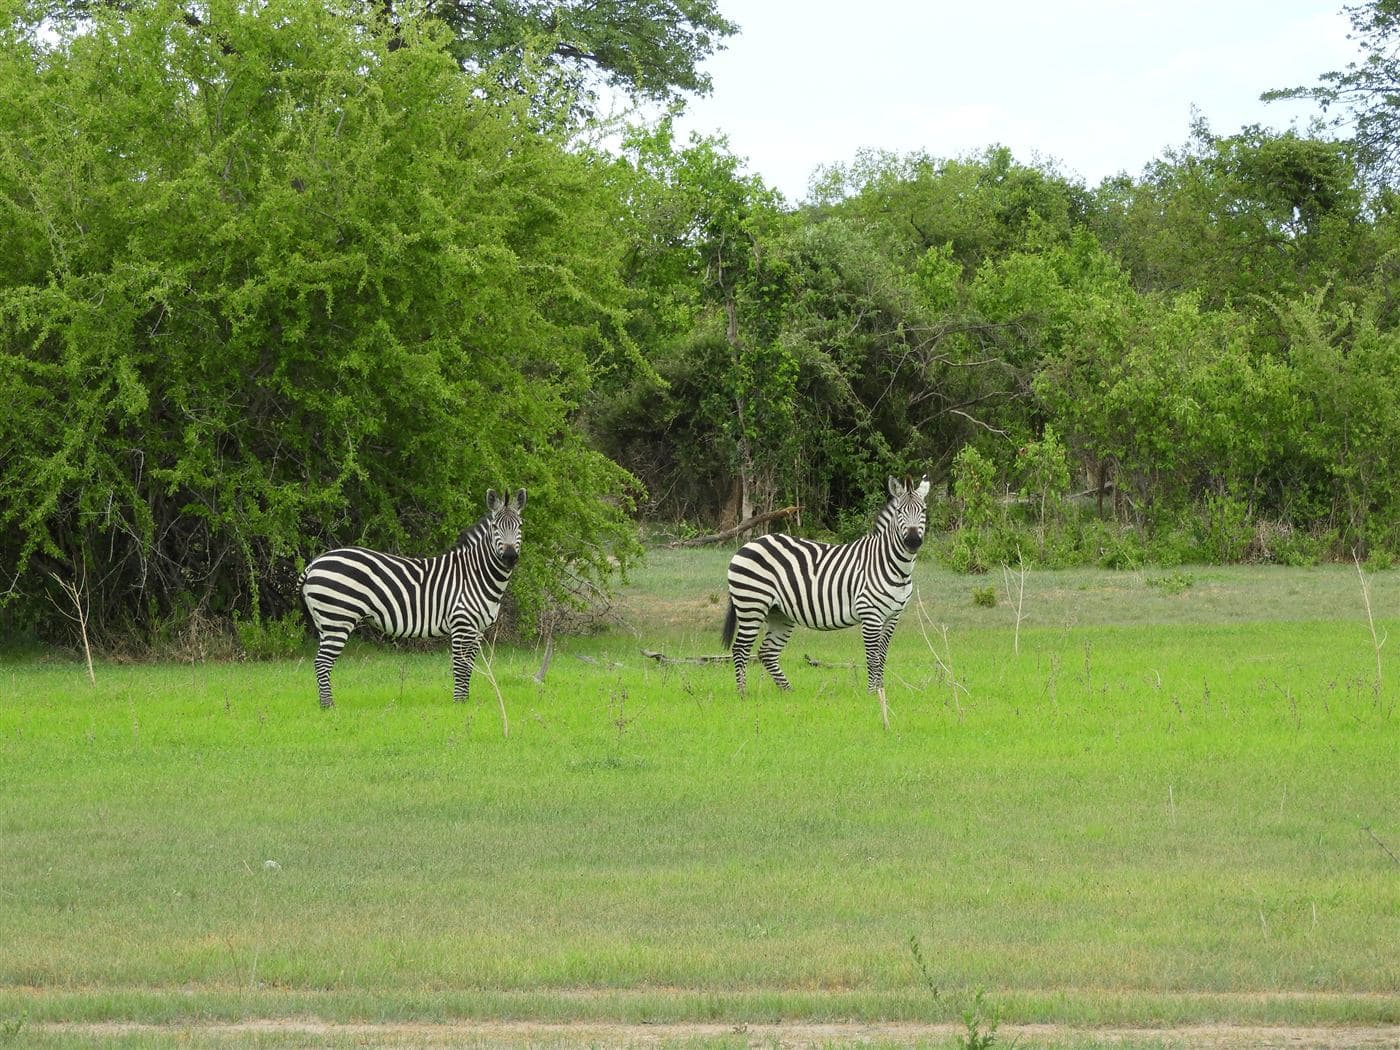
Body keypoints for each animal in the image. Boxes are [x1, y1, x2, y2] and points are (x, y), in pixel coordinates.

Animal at [298, 488, 526, 709]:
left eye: (520, 526)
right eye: (495, 527)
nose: (509, 557)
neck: (475, 574)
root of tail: (315, 563)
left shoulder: (477, 629)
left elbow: (469, 666)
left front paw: (465, 702)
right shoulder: (461, 624)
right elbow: (460, 666)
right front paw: (459, 705)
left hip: (324, 621)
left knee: (321, 662)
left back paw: (326, 704)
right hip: (338, 619)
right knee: (322, 662)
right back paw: (328, 707)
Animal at [721, 475, 930, 727]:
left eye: (924, 510)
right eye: (900, 511)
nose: (913, 541)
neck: (892, 565)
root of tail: (749, 544)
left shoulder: (892, 617)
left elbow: (882, 655)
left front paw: (881, 689)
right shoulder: (870, 614)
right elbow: (872, 656)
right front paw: (873, 694)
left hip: (778, 613)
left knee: (767, 652)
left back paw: (789, 692)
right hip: (751, 604)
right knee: (740, 649)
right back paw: (743, 693)